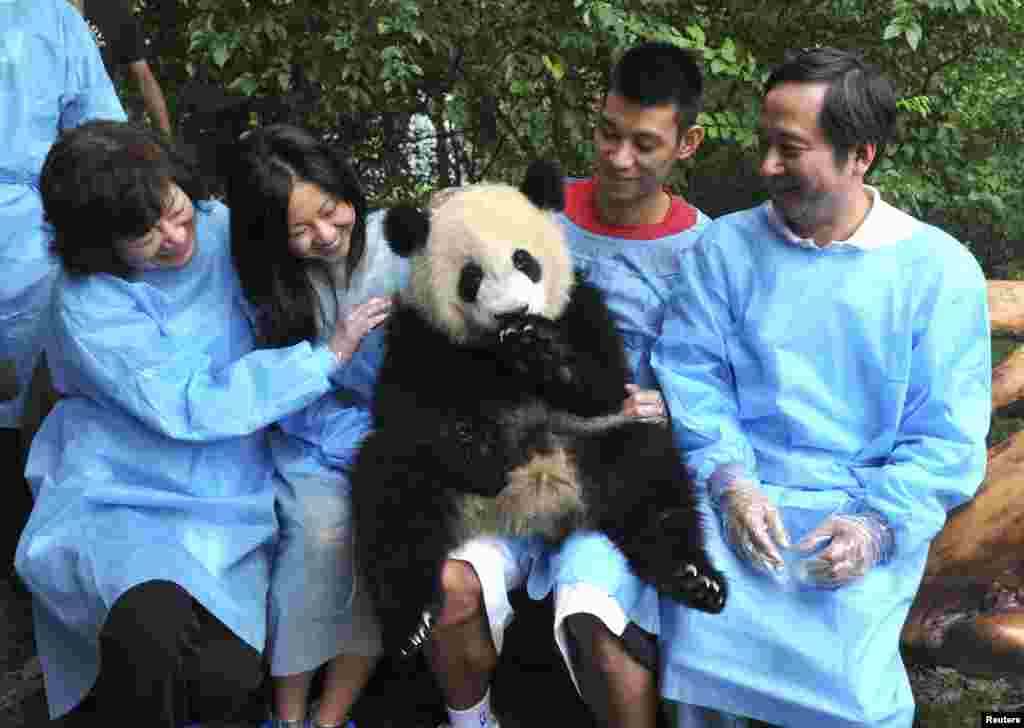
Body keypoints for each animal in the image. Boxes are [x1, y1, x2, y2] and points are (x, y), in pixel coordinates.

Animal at [352, 160, 729, 659]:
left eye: (523, 260)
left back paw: (693, 577)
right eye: (471, 277)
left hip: (592, 442)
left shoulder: (579, 306)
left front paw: (539, 345)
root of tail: (537, 501)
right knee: (391, 497)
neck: (499, 353)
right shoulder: (420, 334)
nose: (513, 313)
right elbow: (404, 408)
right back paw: (411, 623)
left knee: (651, 477)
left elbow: (606, 383)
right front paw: (482, 449)